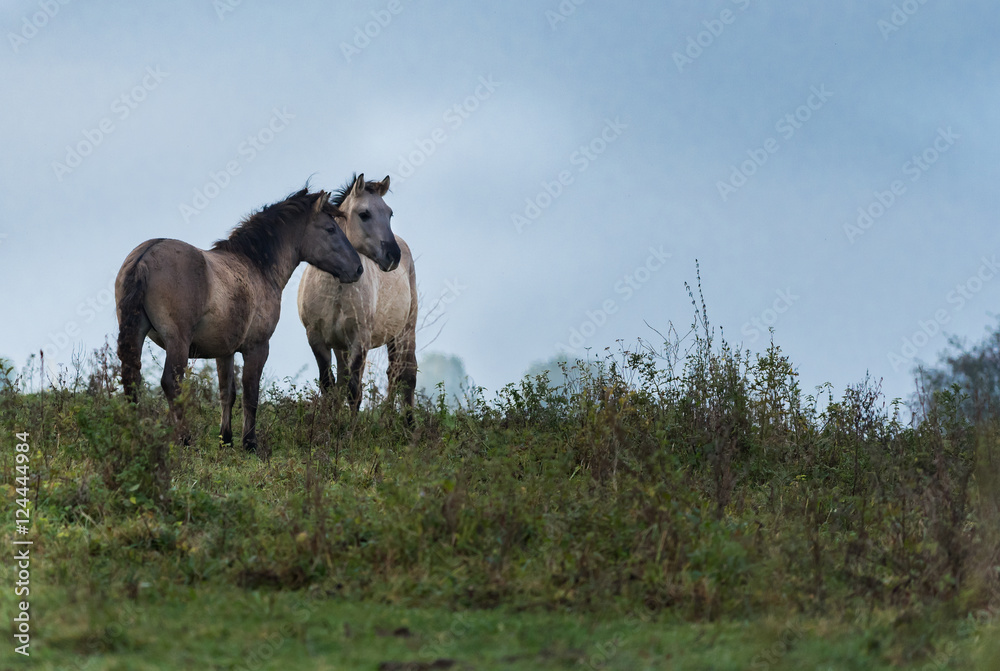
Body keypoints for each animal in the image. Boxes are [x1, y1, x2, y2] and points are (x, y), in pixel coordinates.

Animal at [115, 187, 363, 456]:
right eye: (330, 229)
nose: (358, 268)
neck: (256, 266)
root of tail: (144, 257)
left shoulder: (224, 351)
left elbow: (228, 393)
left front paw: (226, 439)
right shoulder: (257, 347)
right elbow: (250, 394)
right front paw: (249, 443)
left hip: (137, 334)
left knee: (131, 380)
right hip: (177, 341)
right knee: (172, 383)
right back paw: (185, 440)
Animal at [297, 173, 418, 417]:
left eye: (389, 213)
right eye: (364, 214)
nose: (392, 256)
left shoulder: (360, 340)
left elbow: (354, 391)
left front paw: (349, 426)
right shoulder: (316, 338)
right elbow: (329, 386)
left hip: (405, 333)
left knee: (405, 376)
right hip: (344, 347)